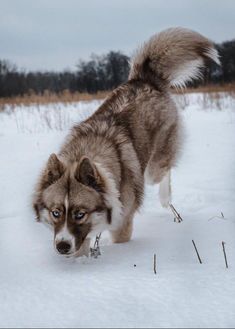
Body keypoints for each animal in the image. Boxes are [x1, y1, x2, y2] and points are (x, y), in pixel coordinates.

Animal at [32, 27, 219, 256]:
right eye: (56, 212)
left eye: (80, 214)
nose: (62, 247)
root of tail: (145, 79)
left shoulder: (122, 222)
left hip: (154, 166)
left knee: (163, 172)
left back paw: (165, 199)